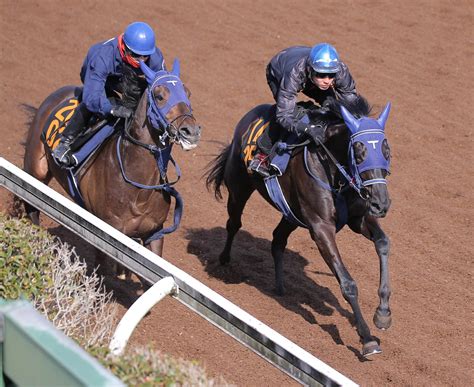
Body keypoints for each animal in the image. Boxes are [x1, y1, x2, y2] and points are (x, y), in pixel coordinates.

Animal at [23, 59, 201, 260]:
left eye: (187, 93)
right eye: (159, 96)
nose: (191, 131)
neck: (139, 191)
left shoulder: (154, 233)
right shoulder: (108, 235)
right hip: (35, 171)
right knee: (32, 212)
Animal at [206, 97, 392, 358]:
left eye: (386, 150)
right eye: (358, 151)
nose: (381, 203)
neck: (335, 172)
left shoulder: (358, 218)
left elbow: (383, 243)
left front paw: (383, 313)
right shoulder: (321, 228)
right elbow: (348, 283)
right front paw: (367, 339)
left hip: (291, 215)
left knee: (277, 240)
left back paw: (280, 287)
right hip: (240, 187)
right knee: (234, 223)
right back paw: (223, 262)